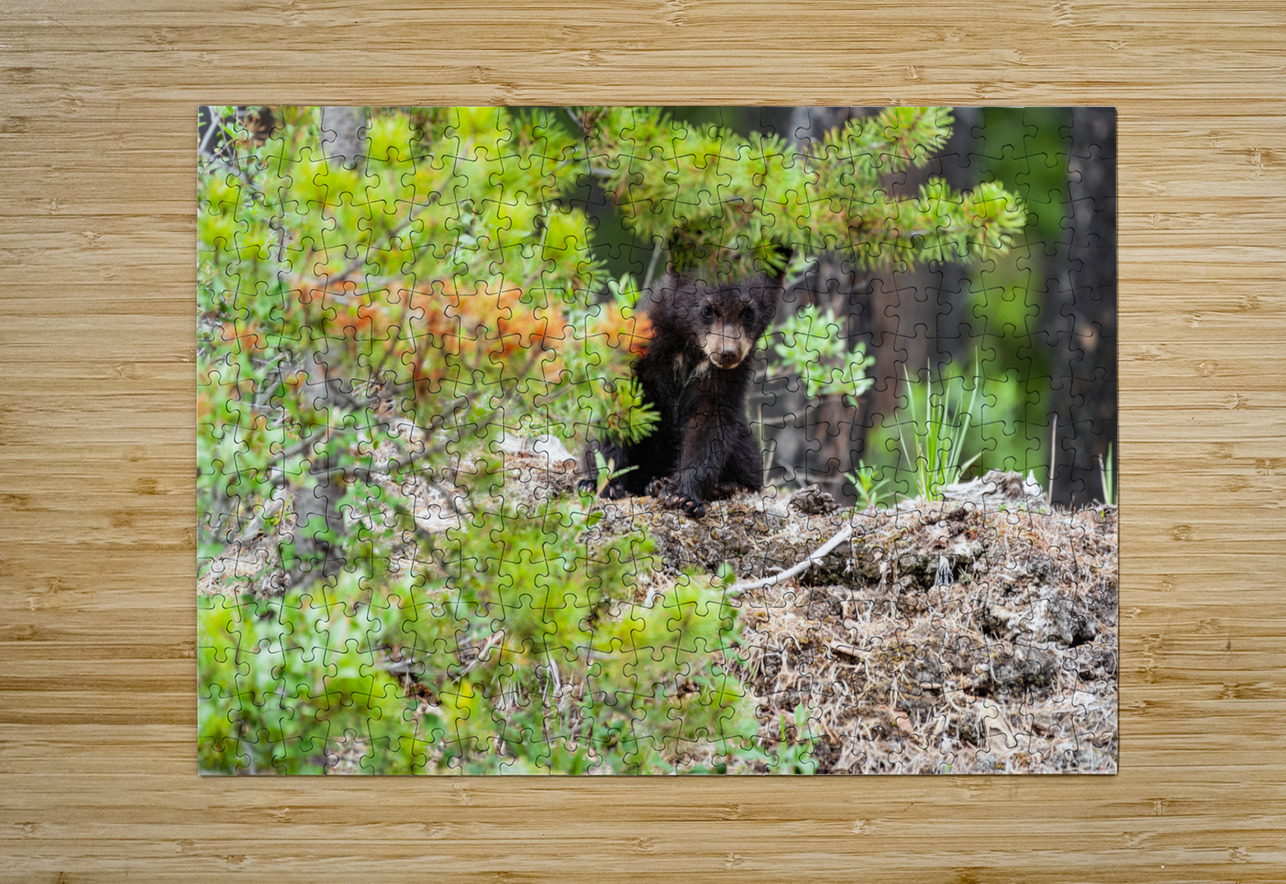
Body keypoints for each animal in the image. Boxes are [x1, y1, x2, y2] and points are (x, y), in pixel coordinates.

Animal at [582, 269, 783, 518]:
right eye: (708, 309)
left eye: (748, 312)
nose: (727, 353)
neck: (689, 348)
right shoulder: (641, 351)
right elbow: (618, 408)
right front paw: (602, 482)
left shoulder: (724, 380)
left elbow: (709, 426)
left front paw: (682, 495)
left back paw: (722, 486)